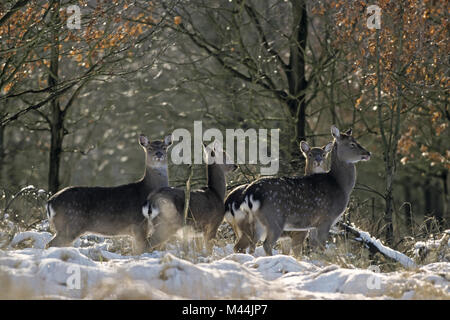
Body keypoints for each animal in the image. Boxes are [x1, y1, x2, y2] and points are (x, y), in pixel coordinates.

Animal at [239, 125, 370, 255]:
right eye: (352, 143)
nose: (368, 153)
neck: (340, 185)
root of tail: (249, 193)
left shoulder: (313, 225)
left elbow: (314, 247)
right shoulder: (326, 218)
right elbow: (321, 246)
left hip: (254, 221)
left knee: (248, 244)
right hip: (274, 218)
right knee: (266, 244)